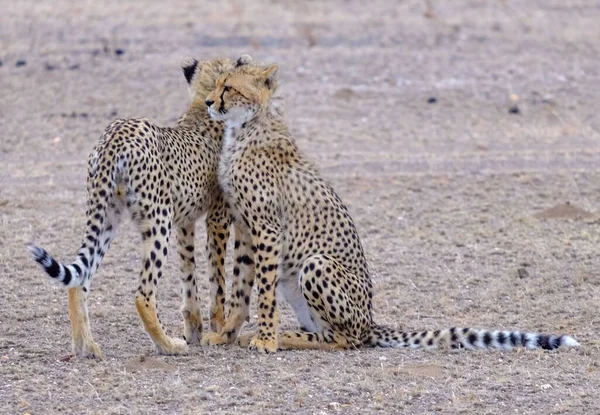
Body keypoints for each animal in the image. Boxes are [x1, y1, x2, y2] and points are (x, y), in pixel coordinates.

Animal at [26, 54, 253, 358]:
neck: (202, 106)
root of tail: (116, 133)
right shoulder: (217, 217)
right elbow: (217, 279)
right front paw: (217, 330)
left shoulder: (184, 222)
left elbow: (188, 276)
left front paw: (195, 330)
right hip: (158, 220)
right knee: (142, 294)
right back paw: (167, 345)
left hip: (107, 215)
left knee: (79, 281)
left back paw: (85, 346)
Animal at [199, 62, 580, 354]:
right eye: (216, 83)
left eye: (228, 87)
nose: (208, 102)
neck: (245, 127)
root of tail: (370, 320)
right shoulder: (246, 226)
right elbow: (242, 285)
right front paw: (226, 333)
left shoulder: (266, 228)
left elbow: (262, 290)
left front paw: (265, 340)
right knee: (329, 333)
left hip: (317, 264)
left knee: (345, 339)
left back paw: (286, 337)